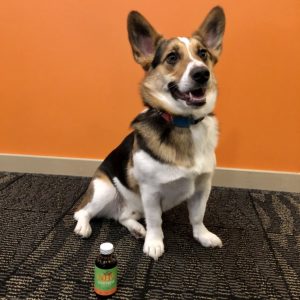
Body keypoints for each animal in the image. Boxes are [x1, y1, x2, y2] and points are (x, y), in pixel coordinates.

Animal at [74, 7, 225, 260]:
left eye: (203, 53)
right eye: (172, 57)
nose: (202, 74)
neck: (184, 123)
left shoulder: (202, 188)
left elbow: (197, 216)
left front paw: (203, 236)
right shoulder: (151, 192)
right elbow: (156, 222)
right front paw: (154, 244)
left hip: (133, 208)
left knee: (123, 217)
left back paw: (136, 229)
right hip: (105, 190)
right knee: (83, 211)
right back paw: (84, 227)